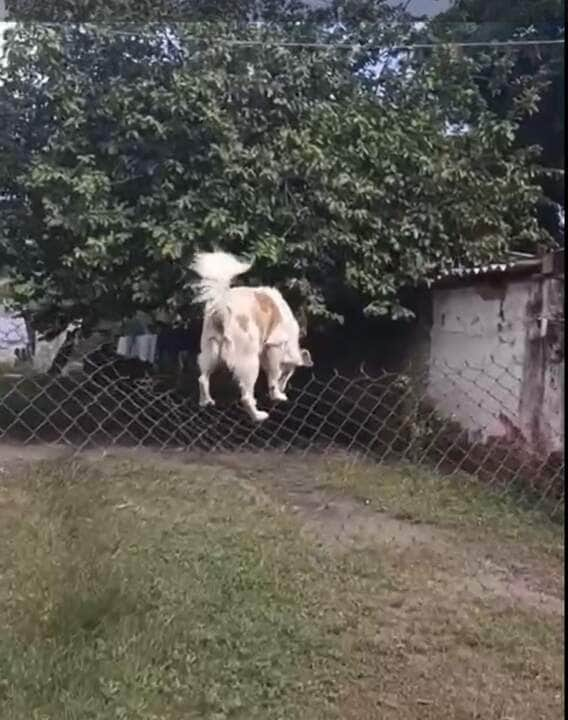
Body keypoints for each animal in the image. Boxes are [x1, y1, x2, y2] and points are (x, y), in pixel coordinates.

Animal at [193, 252, 312, 422]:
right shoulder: (274, 348)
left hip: (210, 351)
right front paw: (277, 395)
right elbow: (273, 378)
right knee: (246, 397)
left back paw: (205, 401)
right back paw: (258, 416)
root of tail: (222, 308)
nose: (284, 387)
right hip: (249, 362)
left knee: (202, 379)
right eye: (288, 374)